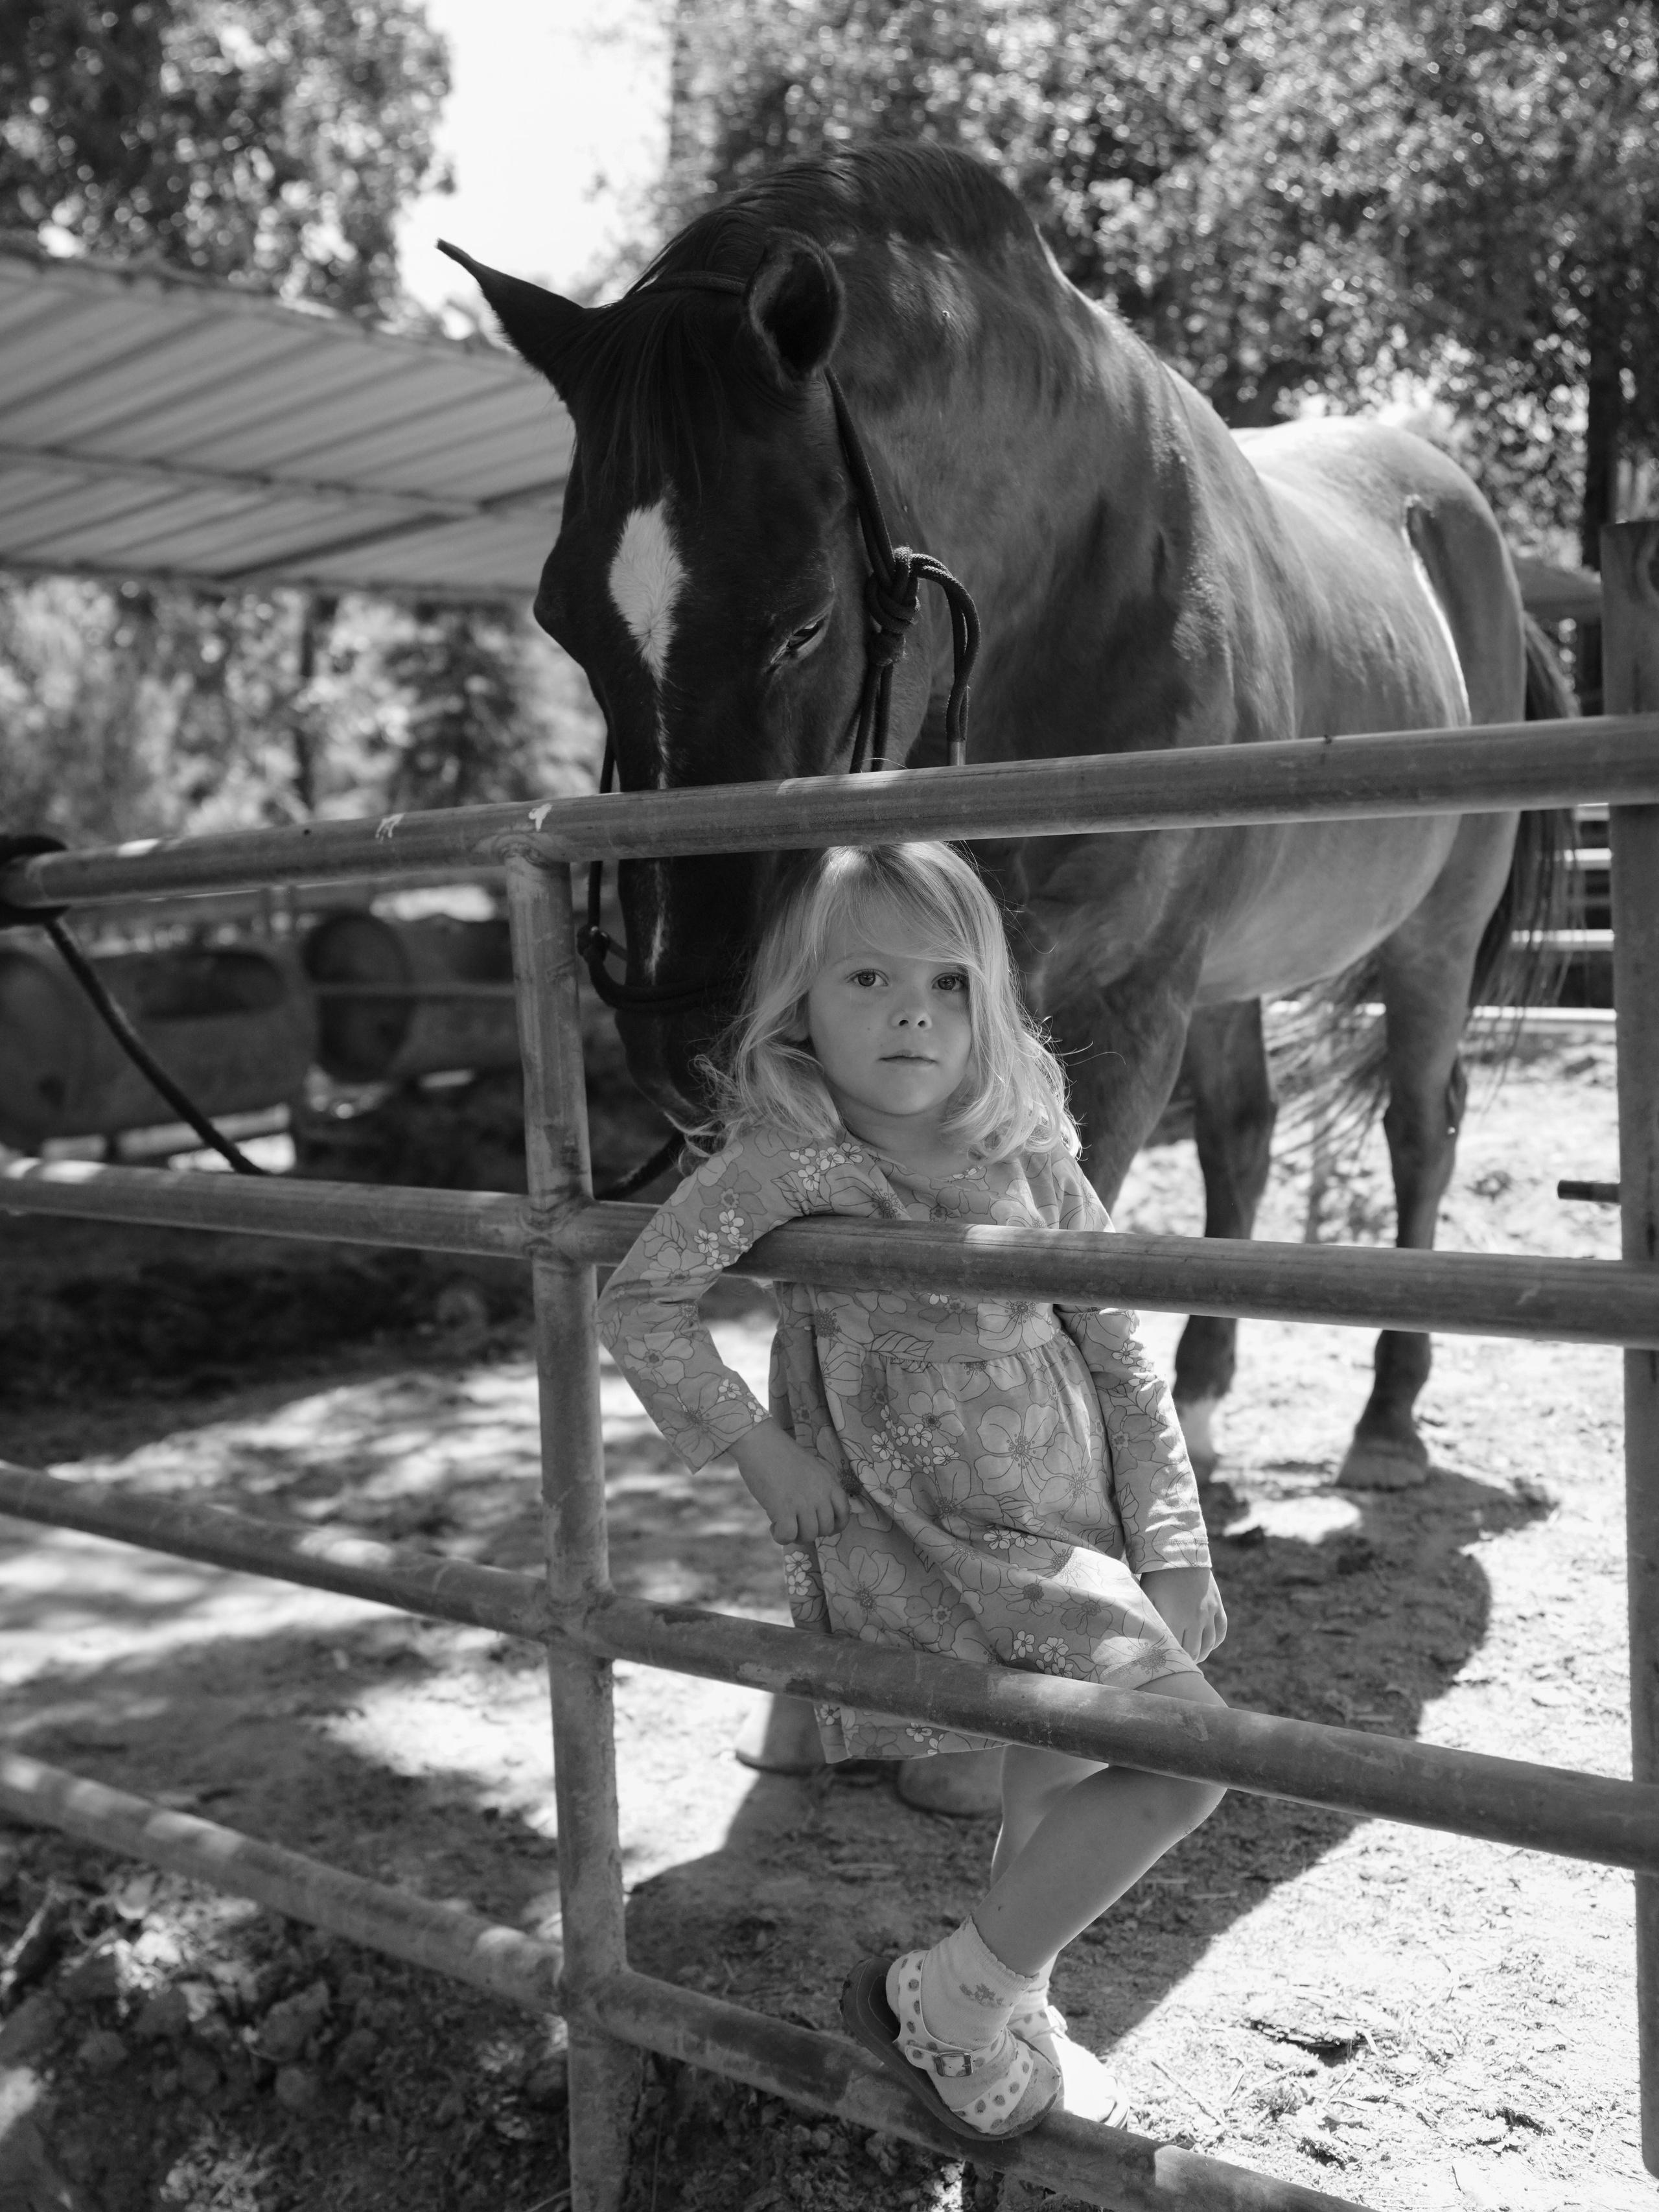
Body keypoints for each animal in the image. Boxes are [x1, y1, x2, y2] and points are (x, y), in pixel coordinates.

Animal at [443, 140, 1564, 1500]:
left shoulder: (1121, 1005)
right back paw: (1204, 1413)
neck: (1089, 581)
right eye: (562, 620)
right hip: (1226, 969)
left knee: (1418, 1130)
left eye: (804, 622)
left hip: (1426, 942)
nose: (677, 1027)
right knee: (1243, 1139)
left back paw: (1389, 1416)